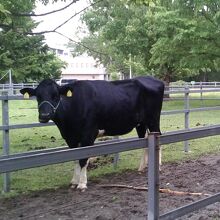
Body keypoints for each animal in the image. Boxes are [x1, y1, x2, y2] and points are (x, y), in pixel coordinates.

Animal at [20, 76, 164, 190]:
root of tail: (153, 79)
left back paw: (157, 166)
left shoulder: (88, 134)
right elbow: (74, 158)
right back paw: (142, 167)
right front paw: (74, 181)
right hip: (141, 123)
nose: (44, 116)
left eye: (55, 95)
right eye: (38, 96)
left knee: (158, 138)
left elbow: (83, 159)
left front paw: (82, 183)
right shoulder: (70, 138)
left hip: (153, 119)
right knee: (145, 142)